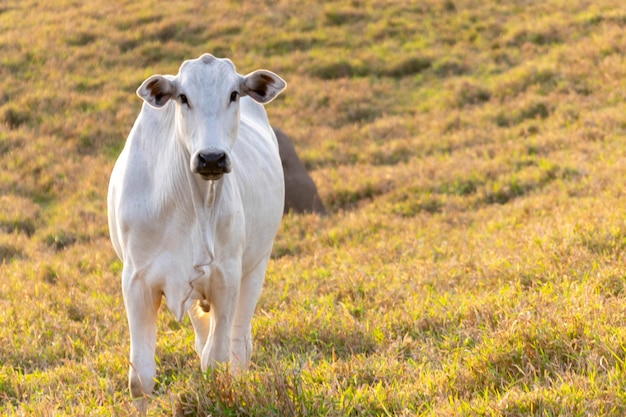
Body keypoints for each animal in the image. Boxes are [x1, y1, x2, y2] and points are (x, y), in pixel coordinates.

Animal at [107, 53, 286, 402]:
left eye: (234, 94)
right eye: (183, 97)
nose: (212, 158)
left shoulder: (226, 279)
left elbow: (216, 361)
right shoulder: (136, 281)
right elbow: (141, 378)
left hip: (255, 268)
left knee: (238, 344)